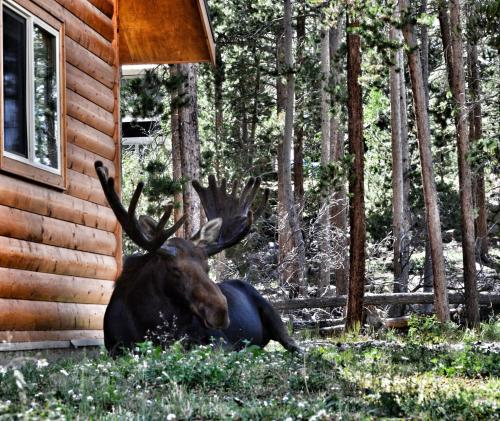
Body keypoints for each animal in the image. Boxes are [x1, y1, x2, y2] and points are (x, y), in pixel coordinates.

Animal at [96, 161, 300, 354]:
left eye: (207, 267)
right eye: (175, 269)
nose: (220, 311)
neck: (145, 323)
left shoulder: (222, 342)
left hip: (273, 316)